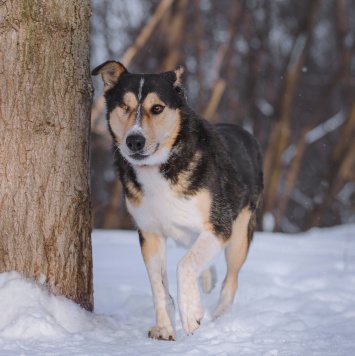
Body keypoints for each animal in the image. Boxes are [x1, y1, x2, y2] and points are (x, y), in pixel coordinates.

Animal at [92, 61, 264, 340]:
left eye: (157, 108)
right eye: (124, 106)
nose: (134, 140)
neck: (161, 166)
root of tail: (247, 134)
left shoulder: (219, 226)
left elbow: (184, 265)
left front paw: (192, 314)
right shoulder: (150, 233)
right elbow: (158, 286)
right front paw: (164, 328)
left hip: (239, 233)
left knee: (231, 279)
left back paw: (220, 316)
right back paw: (207, 279)